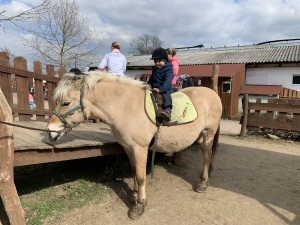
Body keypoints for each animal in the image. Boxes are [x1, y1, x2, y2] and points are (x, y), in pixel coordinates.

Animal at [46, 71, 220, 220]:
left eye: (66, 103)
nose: (50, 131)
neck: (126, 108)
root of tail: (213, 94)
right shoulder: (129, 148)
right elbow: (135, 172)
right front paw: (134, 195)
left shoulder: (140, 149)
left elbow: (142, 177)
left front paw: (139, 206)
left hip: (208, 134)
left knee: (207, 156)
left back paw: (203, 184)